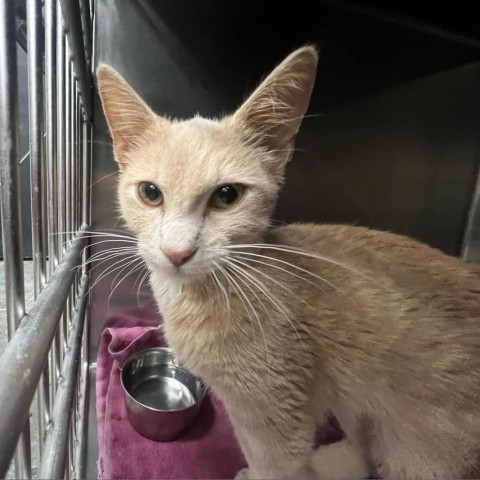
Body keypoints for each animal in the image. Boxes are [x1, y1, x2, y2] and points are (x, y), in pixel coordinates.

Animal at [96, 46, 480, 480]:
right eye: (150, 193)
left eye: (226, 195)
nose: (178, 252)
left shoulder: (274, 414)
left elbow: (276, 466)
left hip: (423, 454)